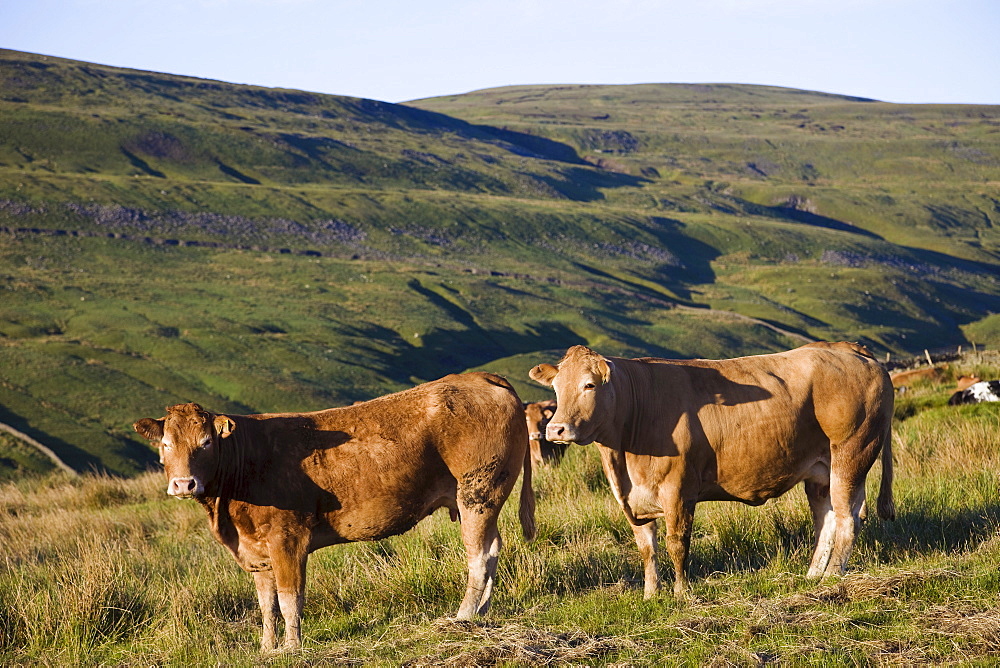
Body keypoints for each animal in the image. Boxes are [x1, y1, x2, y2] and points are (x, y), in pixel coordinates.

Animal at [139, 376, 540, 652]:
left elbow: (289, 599)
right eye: (166, 444)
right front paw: (267, 648)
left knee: (479, 553)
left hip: (477, 491)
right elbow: (266, 604)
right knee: (492, 548)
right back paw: (482, 613)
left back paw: (464, 615)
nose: (184, 484)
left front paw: (291, 648)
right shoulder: (255, 547)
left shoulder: (287, 539)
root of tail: (480, 377)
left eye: (206, 442)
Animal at [528, 342, 896, 596]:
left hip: (851, 452)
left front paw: (681, 593)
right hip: (821, 468)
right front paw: (650, 594)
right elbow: (646, 547)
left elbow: (677, 542)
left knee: (848, 517)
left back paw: (832, 576)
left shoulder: (678, 489)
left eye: (589, 385)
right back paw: (813, 575)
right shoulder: (631, 499)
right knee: (828, 516)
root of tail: (850, 349)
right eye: (556, 387)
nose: (556, 429)